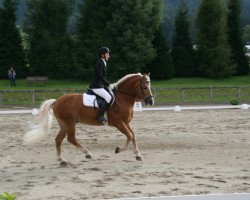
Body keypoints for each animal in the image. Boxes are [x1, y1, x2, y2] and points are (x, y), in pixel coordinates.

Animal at [23, 73, 153, 164]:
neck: (122, 98)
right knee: (71, 138)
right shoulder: (118, 123)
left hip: (64, 124)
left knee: (58, 139)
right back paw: (87, 154)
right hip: (70, 123)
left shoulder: (126, 122)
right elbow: (129, 136)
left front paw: (138, 155)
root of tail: (57, 101)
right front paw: (118, 149)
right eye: (144, 87)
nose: (151, 101)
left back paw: (62, 160)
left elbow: (133, 136)